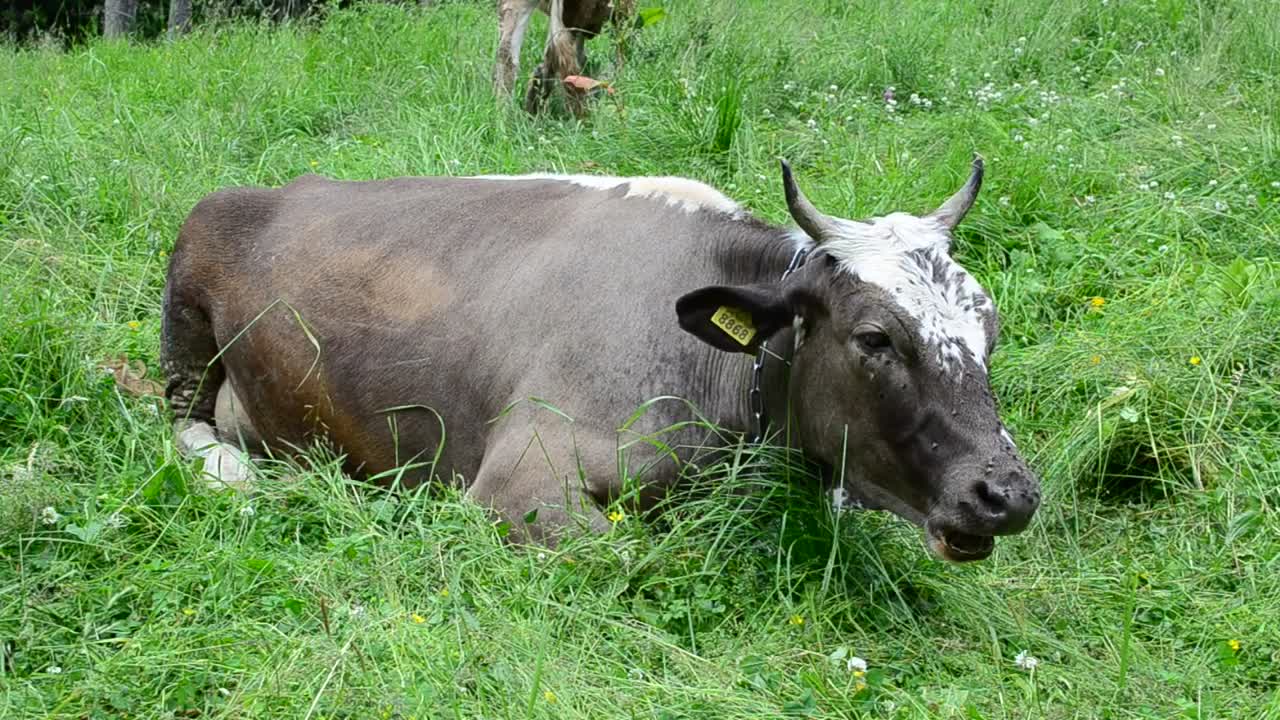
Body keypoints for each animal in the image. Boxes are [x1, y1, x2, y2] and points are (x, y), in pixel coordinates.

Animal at [160, 156, 1041, 562]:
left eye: (990, 328)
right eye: (874, 339)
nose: (1006, 495)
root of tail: (287, 187)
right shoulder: (519, 482)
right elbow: (631, 553)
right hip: (187, 309)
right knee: (183, 424)